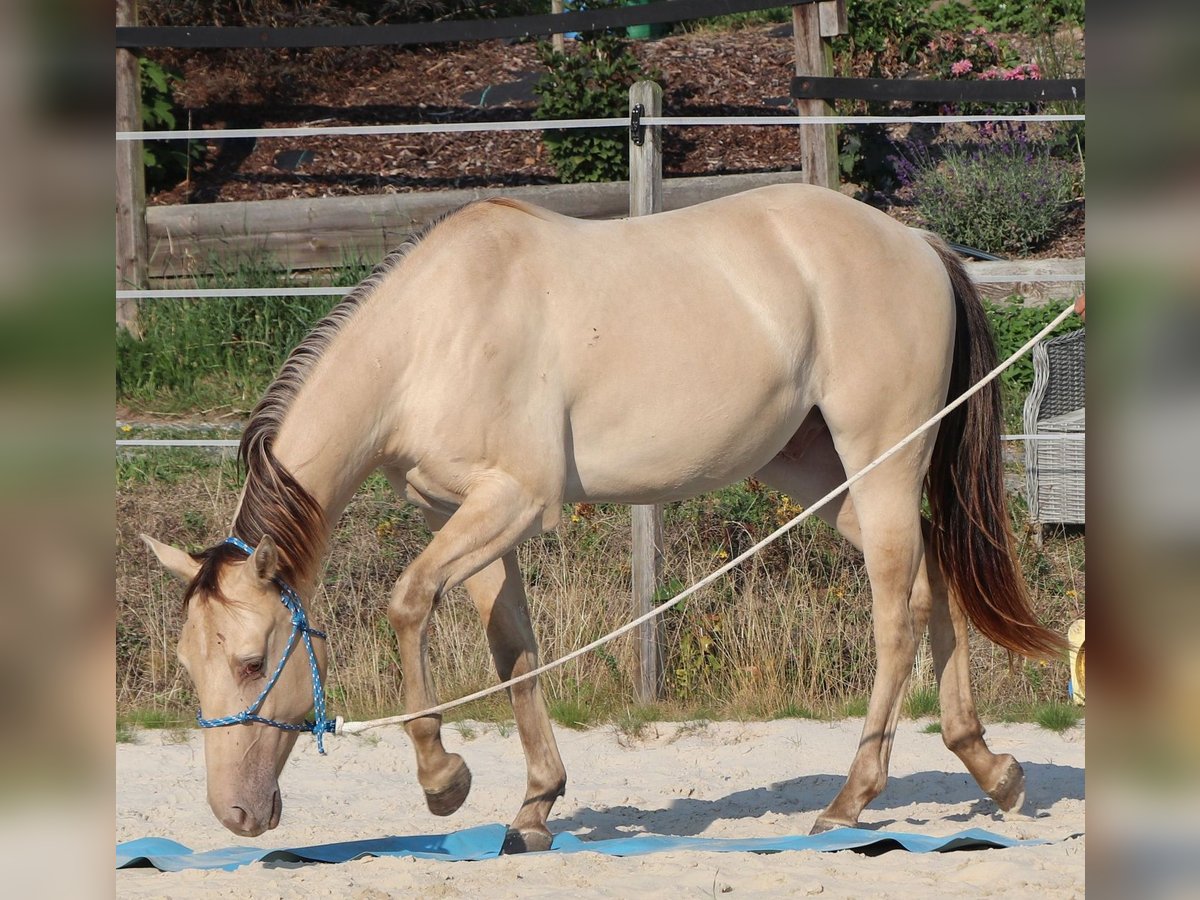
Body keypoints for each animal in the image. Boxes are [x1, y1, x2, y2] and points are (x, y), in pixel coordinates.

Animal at [142, 183, 1065, 852]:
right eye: (191, 664)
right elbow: (515, 655)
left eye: (254, 662)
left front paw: (444, 782)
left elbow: (407, 605)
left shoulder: (514, 502)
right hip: (830, 478)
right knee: (936, 587)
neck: (432, 336)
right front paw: (533, 807)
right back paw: (992, 770)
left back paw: (850, 800)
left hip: (880, 463)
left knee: (895, 618)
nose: (234, 815)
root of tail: (917, 244)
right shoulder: (469, 517)